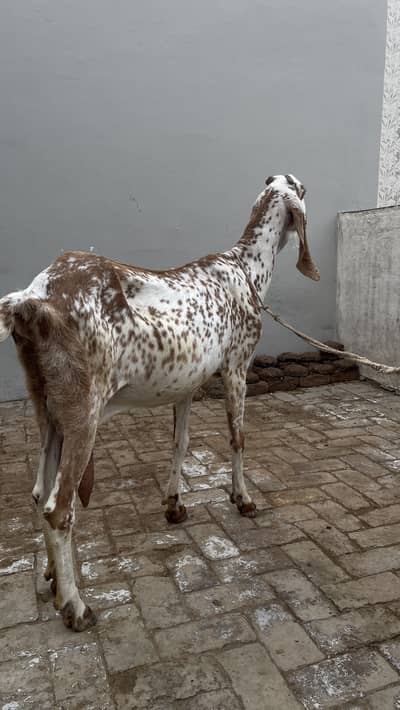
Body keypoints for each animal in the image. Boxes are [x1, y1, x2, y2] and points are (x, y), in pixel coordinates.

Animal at [0, 174, 319, 630]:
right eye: (301, 187)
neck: (246, 269)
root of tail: (33, 300)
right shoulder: (237, 366)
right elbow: (238, 438)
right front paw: (243, 499)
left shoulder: (186, 385)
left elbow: (180, 443)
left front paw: (174, 505)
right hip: (83, 410)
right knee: (58, 508)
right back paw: (76, 605)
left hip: (48, 407)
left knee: (39, 491)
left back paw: (53, 579)